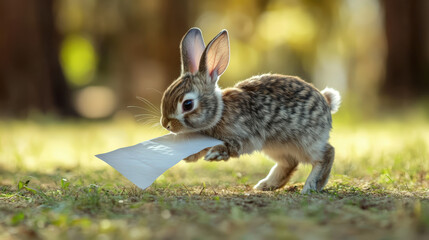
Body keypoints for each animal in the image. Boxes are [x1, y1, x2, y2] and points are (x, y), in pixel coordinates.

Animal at [160, 27, 342, 194]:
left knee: (326, 154)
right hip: (275, 146)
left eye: (188, 104)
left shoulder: (244, 135)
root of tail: (326, 101)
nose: (166, 124)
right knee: (290, 162)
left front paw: (215, 154)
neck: (220, 112)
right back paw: (265, 185)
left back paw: (311, 186)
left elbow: (231, 146)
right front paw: (189, 156)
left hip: (305, 141)